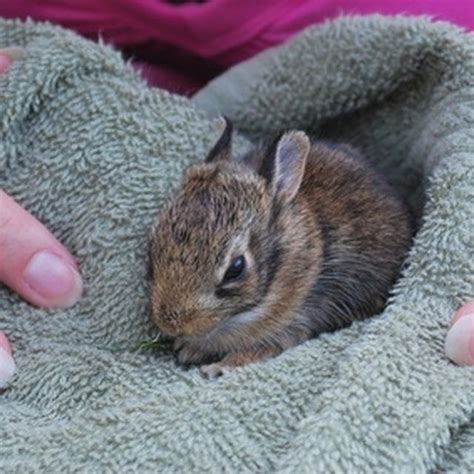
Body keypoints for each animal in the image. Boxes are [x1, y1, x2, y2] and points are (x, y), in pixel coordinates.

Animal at [150, 119, 412, 378]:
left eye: (236, 268)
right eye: (154, 245)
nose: (172, 323)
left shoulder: (296, 323)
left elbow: (259, 351)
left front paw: (218, 367)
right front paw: (188, 348)